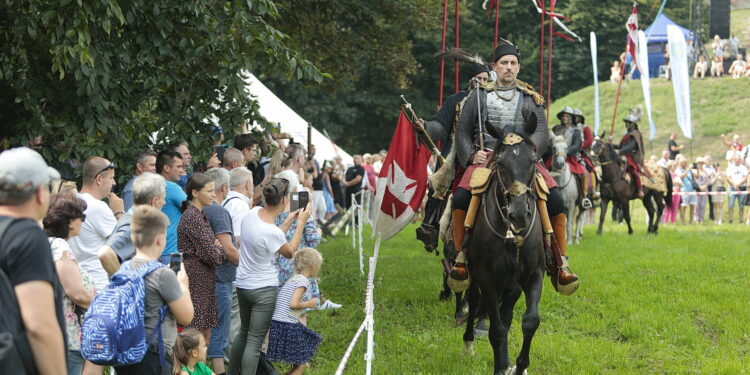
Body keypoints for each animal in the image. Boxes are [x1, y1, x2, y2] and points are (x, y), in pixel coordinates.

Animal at [464, 127, 548, 375]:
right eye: (500, 163)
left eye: (532, 161)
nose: (519, 215)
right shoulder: (487, 279)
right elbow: (497, 331)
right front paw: (499, 369)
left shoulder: (534, 274)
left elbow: (530, 321)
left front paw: (518, 366)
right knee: (474, 301)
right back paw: (469, 344)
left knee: (506, 315)